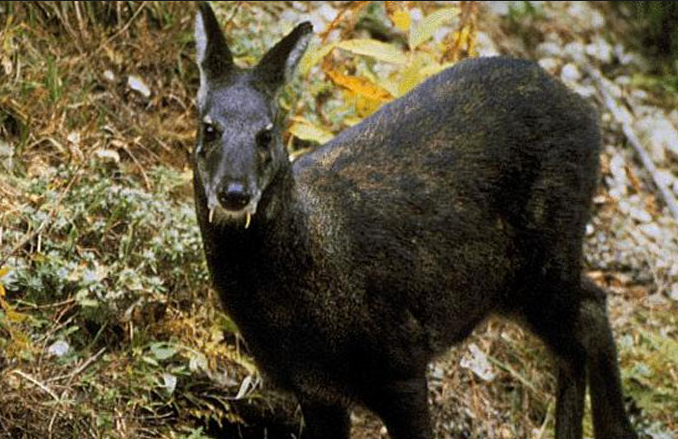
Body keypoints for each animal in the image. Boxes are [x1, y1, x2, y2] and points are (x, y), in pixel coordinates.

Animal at [194, 4, 640, 439]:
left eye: (267, 134)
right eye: (209, 128)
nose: (234, 192)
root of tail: (588, 113)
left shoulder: (401, 364)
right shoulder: (316, 391)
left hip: (551, 247)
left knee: (585, 318)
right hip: (512, 283)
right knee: (583, 318)